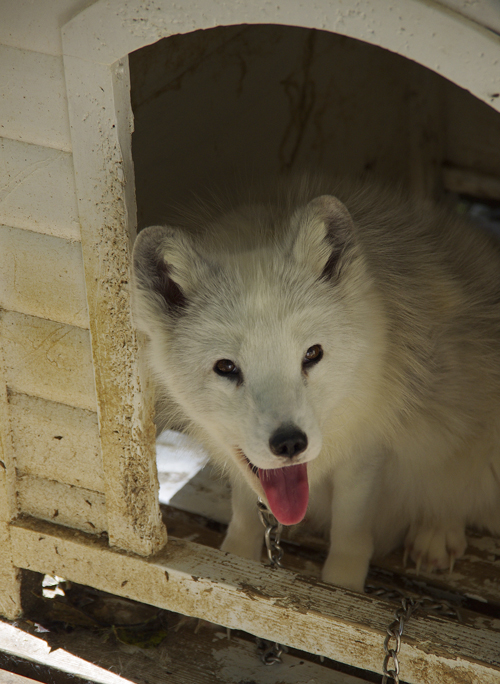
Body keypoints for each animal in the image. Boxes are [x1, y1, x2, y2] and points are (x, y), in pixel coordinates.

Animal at [132, 179, 500, 592]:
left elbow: (350, 534)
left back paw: (436, 532)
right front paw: (235, 564)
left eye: (312, 354)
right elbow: (244, 517)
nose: (290, 443)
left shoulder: (365, 451)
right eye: (226, 367)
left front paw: (344, 592)